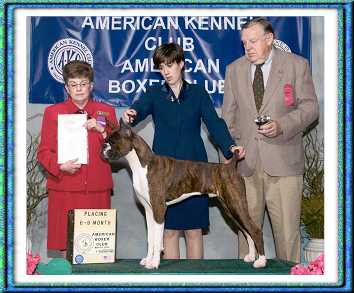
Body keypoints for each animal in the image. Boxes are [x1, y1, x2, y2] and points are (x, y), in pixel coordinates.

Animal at [101, 120, 266, 268]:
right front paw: (148, 260)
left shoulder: (159, 209)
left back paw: (261, 261)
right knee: (246, 231)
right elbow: (151, 239)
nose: (102, 147)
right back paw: (251, 256)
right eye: (106, 139)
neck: (143, 164)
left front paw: (154, 263)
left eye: (112, 141)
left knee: (255, 229)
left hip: (236, 205)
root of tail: (230, 166)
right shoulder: (148, 211)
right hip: (230, 208)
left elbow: (157, 240)